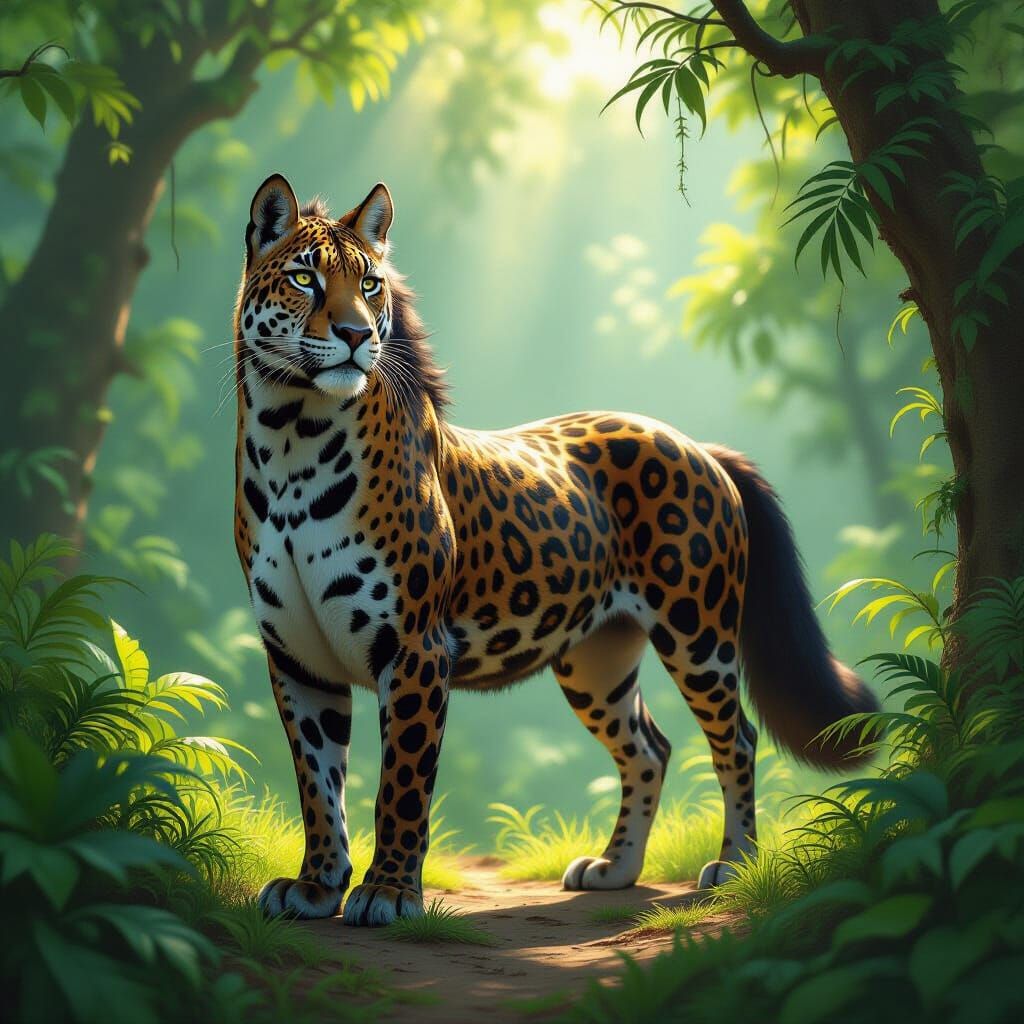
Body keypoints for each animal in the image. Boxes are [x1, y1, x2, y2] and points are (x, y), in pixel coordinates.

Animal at [232, 173, 878, 925]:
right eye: (305, 278)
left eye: (369, 284)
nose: (357, 335)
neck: (292, 440)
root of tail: (695, 443)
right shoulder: (297, 657)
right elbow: (317, 784)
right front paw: (315, 887)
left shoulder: (415, 650)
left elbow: (401, 784)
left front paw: (387, 892)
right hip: (596, 658)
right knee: (648, 748)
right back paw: (614, 869)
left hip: (698, 634)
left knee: (735, 738)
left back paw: (734, 863)